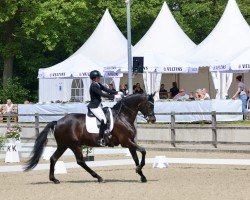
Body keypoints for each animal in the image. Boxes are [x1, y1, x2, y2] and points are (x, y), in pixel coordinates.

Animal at [23, 93, 156, 184]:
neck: (123, 116)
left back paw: (54, 179)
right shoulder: (126, 142)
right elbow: (143, 151)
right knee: (80, 161)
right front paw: (139, 170)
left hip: (63, 145)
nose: (153, 119)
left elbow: (136, 158)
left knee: (53, 158)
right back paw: (99, 177)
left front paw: (142, 175)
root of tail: (58, 121)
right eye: (150, 105)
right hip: (74, 145)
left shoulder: (130, 143)